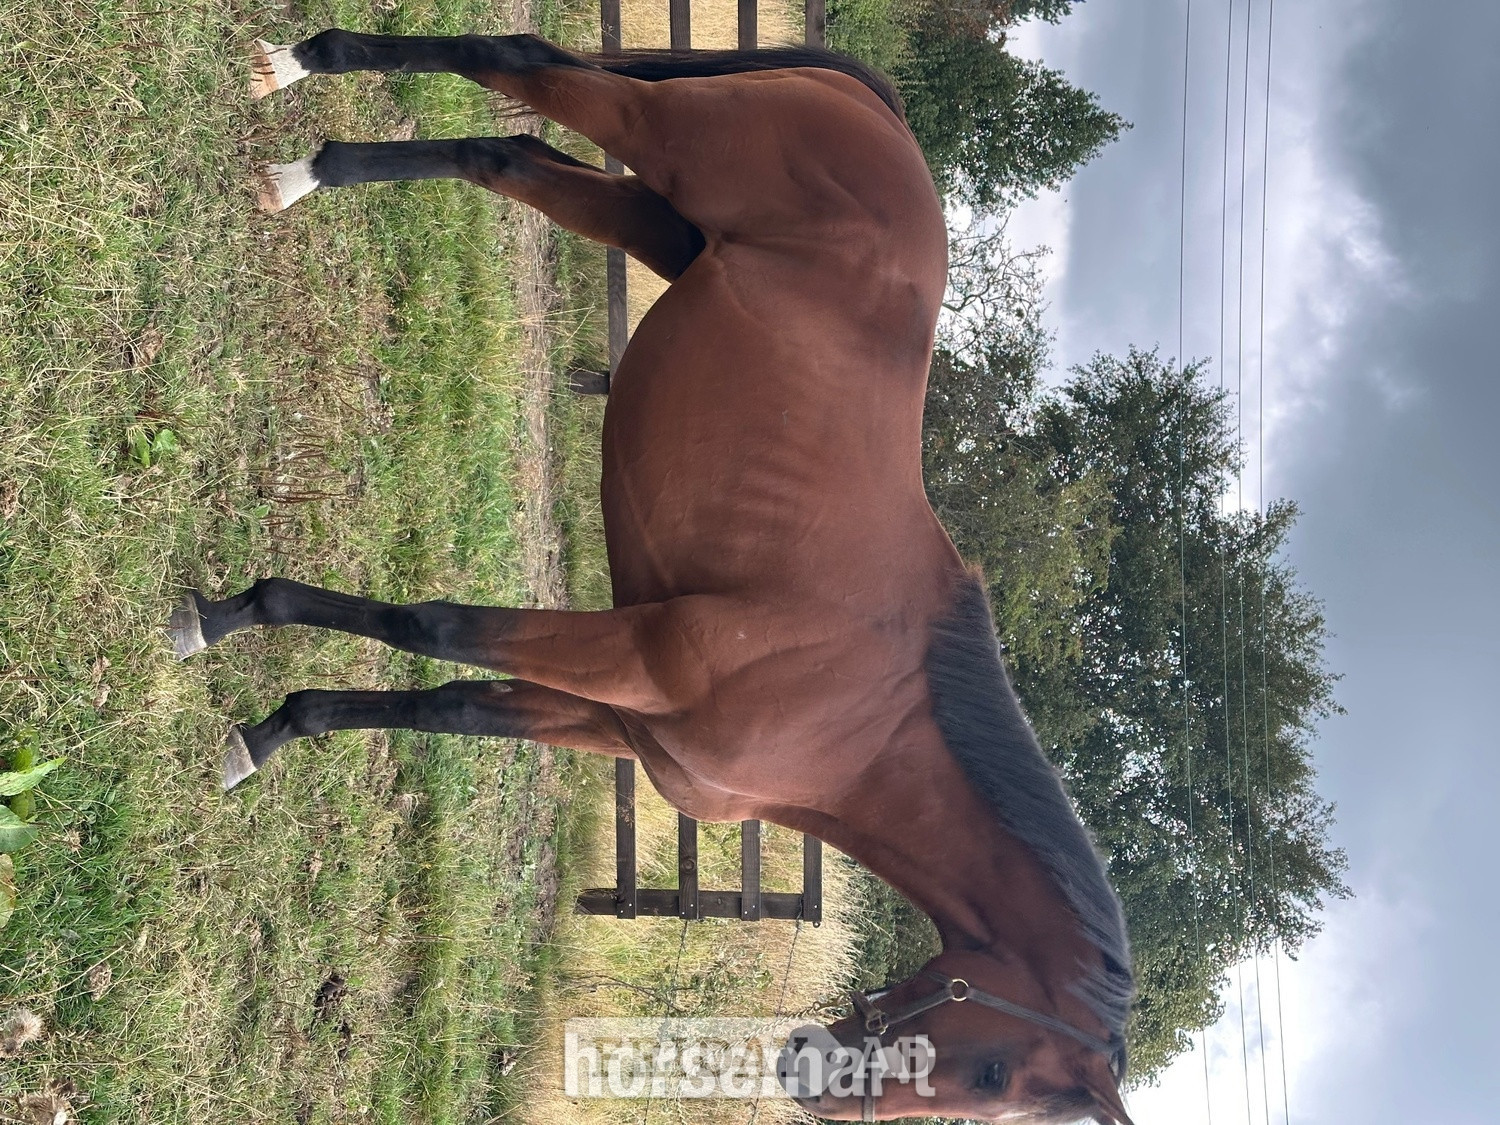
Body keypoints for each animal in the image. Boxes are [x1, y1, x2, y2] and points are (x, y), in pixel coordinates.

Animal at [171, 29, 1137, 1122]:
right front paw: (227, 622)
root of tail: (878, 115)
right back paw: (300, 82)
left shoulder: (615, 713)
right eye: (995, 1071)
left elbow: (456, 704)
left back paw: (305, 168)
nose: (807, 1070)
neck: (859, 718)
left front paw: (271, 726)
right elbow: (434, 626)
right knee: (515, 60)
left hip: (657, 220)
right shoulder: (629, 652)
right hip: (662, 139)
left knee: (505, 155)